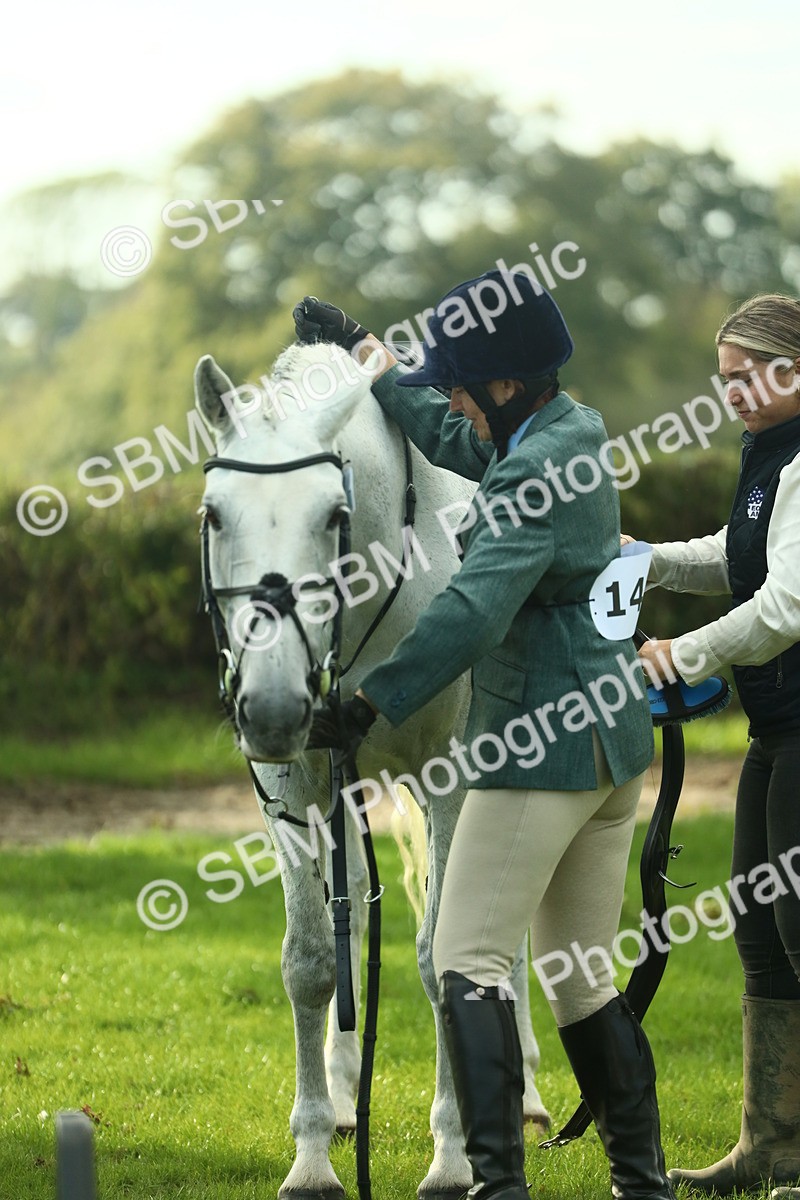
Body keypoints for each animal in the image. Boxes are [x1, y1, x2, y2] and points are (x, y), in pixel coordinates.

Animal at [194, 339, 549, 1200]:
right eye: (216, 514)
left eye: (332, 514)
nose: (273, 706)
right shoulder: (295, 790)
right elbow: (313, 962)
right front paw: (314, 1158)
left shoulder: (452, 780)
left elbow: (441, 956)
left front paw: (454, 1157)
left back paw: (523, 1091)